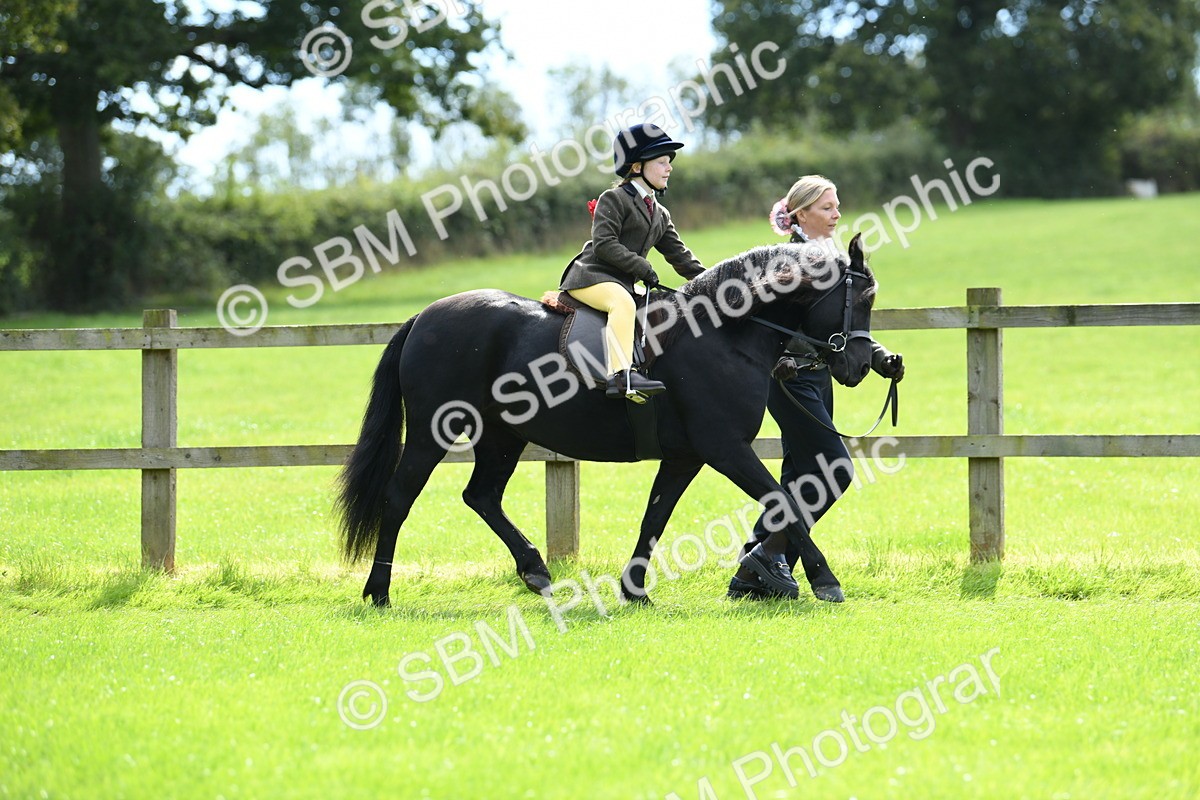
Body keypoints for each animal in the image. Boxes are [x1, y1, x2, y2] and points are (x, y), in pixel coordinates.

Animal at [336, 233, 877, 606]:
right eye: (865, 299)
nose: (859, 365)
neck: (720, 333)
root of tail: (424, 317)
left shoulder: (685, 457)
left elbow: (655, 516)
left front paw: (634, 589)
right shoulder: (726, 449)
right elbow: (782, 502)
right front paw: (825, 580)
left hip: (502, 437)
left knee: (481, 496)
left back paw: (534, 570)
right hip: (432, 434)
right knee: (399, 498)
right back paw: (379, 590)